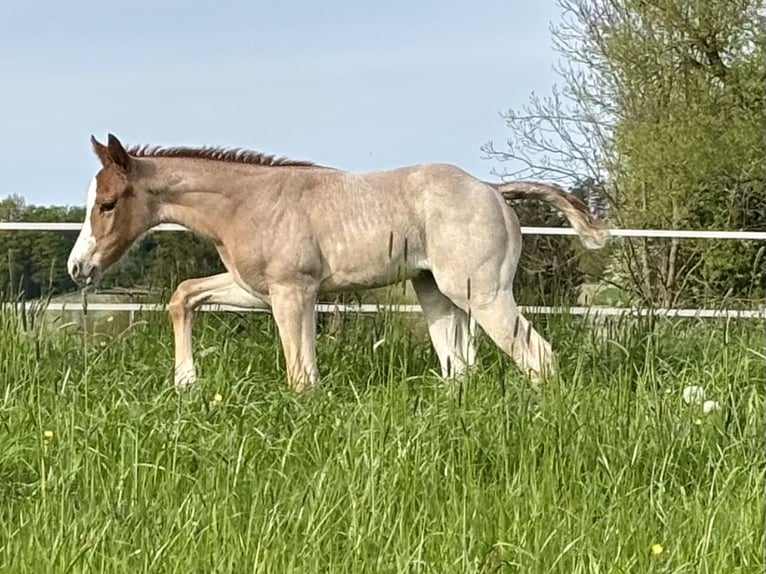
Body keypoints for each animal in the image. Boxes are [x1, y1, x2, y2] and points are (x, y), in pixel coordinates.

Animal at [67, 134, 609, 392]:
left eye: (108, 203)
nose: (78, 268)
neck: (247, 202)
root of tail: (492, 189)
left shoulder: (293, 292)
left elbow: (300, 375)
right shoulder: (255, 289)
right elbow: (183, 295)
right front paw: (185, 383)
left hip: (483, 292)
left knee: (538, 356)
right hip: (435, 293)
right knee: (459, 368)